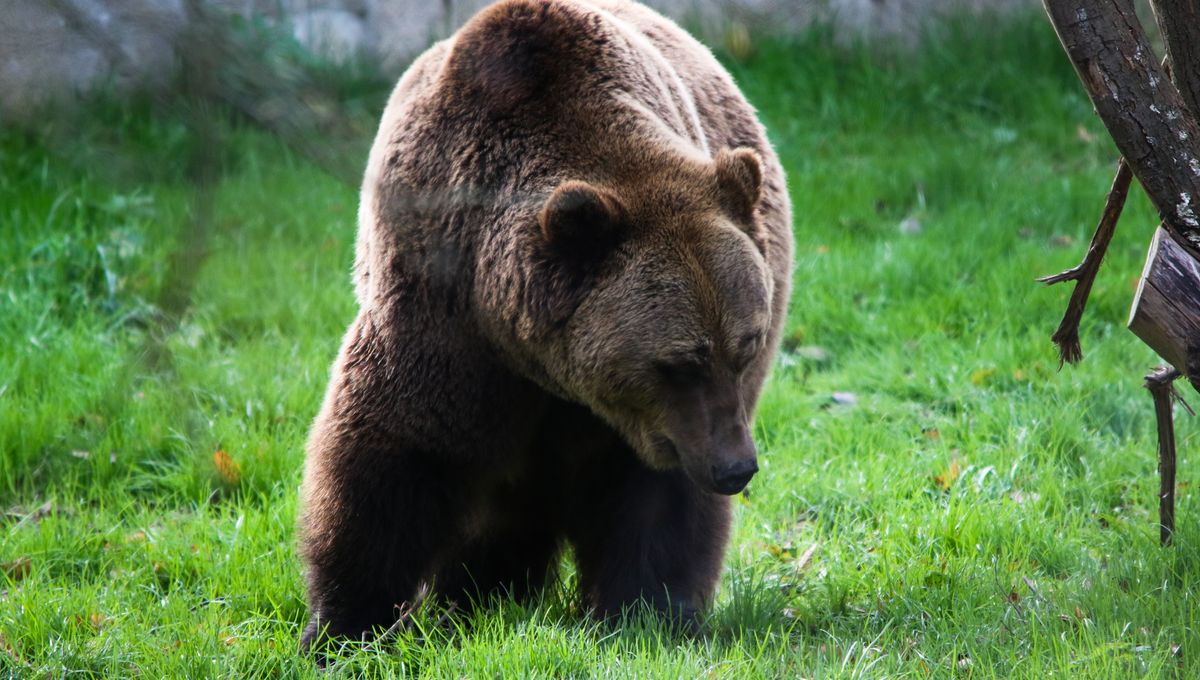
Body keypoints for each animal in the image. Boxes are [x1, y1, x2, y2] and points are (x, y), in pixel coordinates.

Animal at [296, 0, 792, 652]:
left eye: (746, 347)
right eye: (679, 362)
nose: (736, 468)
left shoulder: (659, 426)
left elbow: (658, 499)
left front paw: (648, 613)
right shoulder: (441, 310)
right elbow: (395, 455)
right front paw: (345, 627)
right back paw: (476, 596)